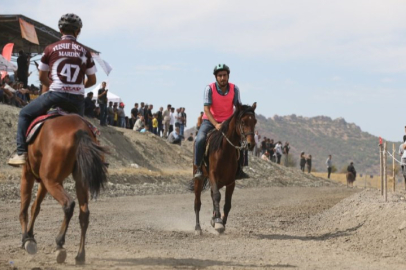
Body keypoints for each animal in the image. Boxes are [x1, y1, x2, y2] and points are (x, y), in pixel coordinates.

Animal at [18, 115, 108, 264]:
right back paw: (80, 256)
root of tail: (79, 130)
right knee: (84, 214)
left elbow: (25, 207)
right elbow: (35, 207)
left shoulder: (28, 173)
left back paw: (59, 243)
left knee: (68, 204)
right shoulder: (44, 182)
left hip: (51, 180)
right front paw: (30, 235)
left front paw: (26, 239)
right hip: (77, 181)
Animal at [193, 103, 256, 234]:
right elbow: (217, 196)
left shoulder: (231, 181)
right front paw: (218, 222)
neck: (225, 150)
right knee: (197, 202)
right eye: (243, 122)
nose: (250, 144)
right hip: (199, 179)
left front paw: (221, 221)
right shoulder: (213, 175)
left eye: (255, 121)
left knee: (212, 195)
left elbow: (227, 203)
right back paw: (198, 228)